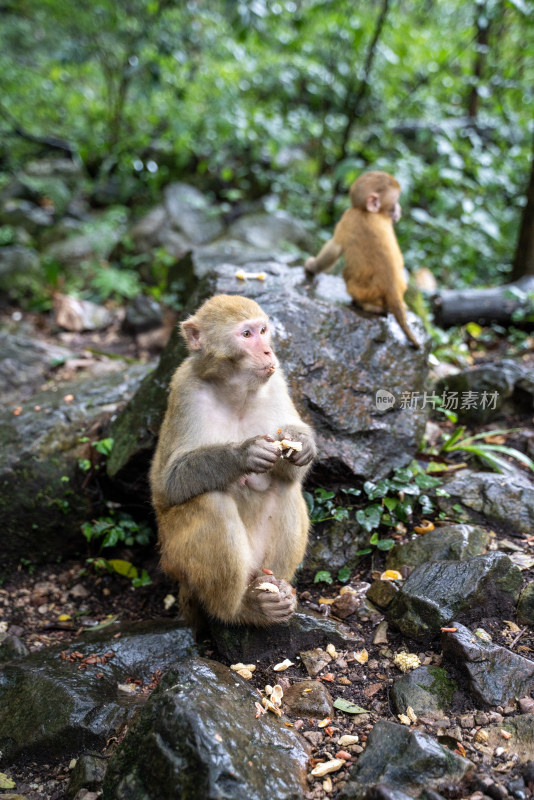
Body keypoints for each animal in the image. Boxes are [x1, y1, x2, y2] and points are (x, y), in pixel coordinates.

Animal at [150, 294, 318, 624]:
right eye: (246, 335)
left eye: (264, 330)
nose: (267, 350)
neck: (235, 393)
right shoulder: (185, 389)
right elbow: (170, 482)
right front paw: (244, 454)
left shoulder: (276, 381)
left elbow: (289, 470)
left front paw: (301, 442)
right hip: (176, 559)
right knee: (211, 503)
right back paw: (241, 608)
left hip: (258, 562)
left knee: (286, 490)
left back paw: (276, 592)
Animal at [308, 170, 420, 348]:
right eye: (395, 201)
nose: (399, 209)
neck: (366, 211)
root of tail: (393, 291)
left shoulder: (348, 217)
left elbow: (334, 247)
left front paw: (311, 266)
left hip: (359, 289)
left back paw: (367, 306)